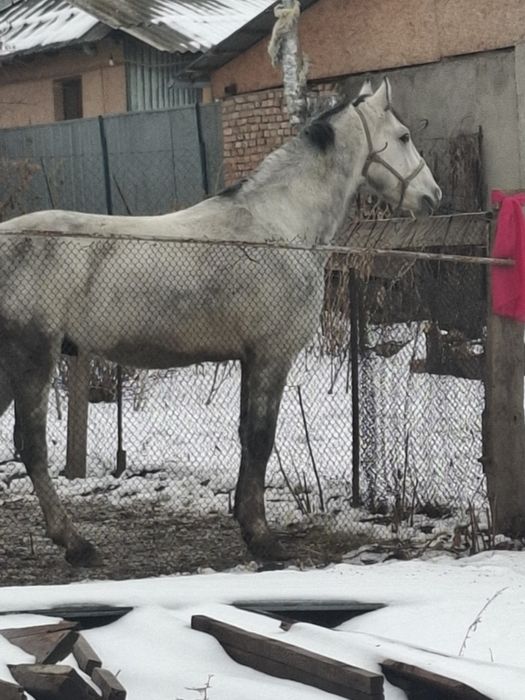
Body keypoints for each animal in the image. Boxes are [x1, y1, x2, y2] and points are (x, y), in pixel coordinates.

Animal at [0, 79, 441, 565]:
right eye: (403, 136)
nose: (433, 195)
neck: (280, 226)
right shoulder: (272, 357)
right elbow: (262, 439)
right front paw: (264, 539)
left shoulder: (250, 359)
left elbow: (247, 436)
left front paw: (248, 527)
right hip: (31, 358)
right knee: (32, 447)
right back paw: (75, 544)